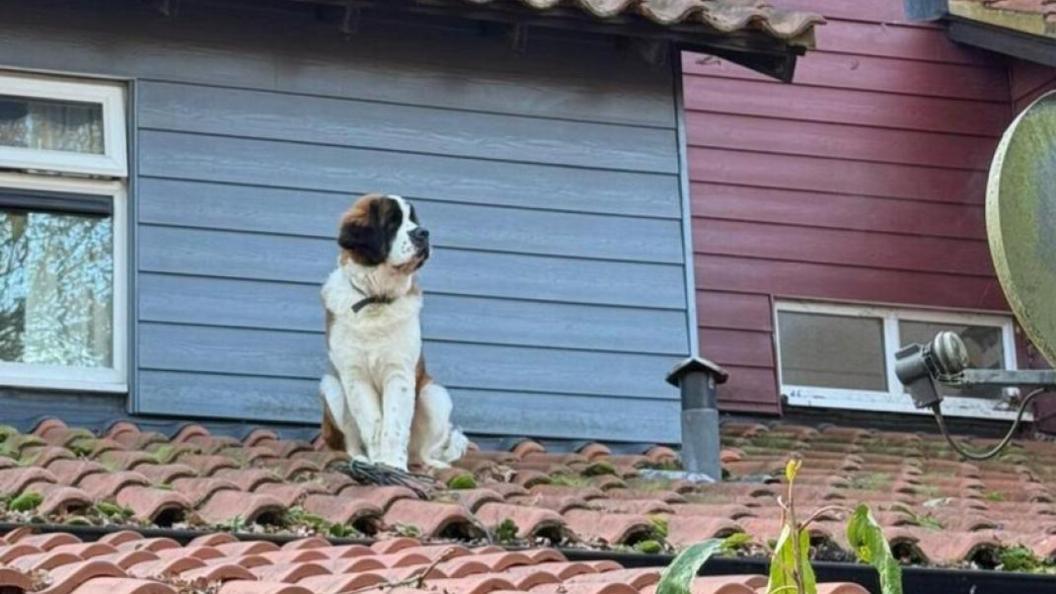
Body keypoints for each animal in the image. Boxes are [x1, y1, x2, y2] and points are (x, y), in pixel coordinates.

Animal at [316, 192, 466, 469]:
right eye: (393, 222)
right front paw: (379, 462)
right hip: (332, 388)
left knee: (421, 452)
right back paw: (361, 458)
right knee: (350, 443)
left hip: (434, 395)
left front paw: (393, 465)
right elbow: (373, 423)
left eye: (413, 219)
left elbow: (394, 425)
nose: (424, 233)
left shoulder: (400, 374)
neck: (376, 299)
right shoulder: (355, 377)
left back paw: (432, 464)